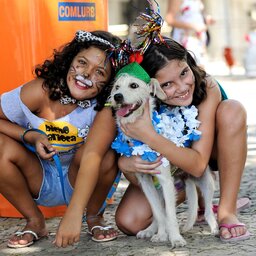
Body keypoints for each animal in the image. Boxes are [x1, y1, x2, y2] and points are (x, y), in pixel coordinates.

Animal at [110, 65, 218, 246]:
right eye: (117, 87)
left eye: (133, 85)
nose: (117, 96)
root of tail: (186, 177)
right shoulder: (146, 182)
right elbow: (159, 213)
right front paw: (161, 235)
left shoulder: (166, 181)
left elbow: (170, 214)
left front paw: (175, 238)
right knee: (159, 211)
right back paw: (151, 230)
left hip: (206, 182)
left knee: (209, 209)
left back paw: (215, 228)